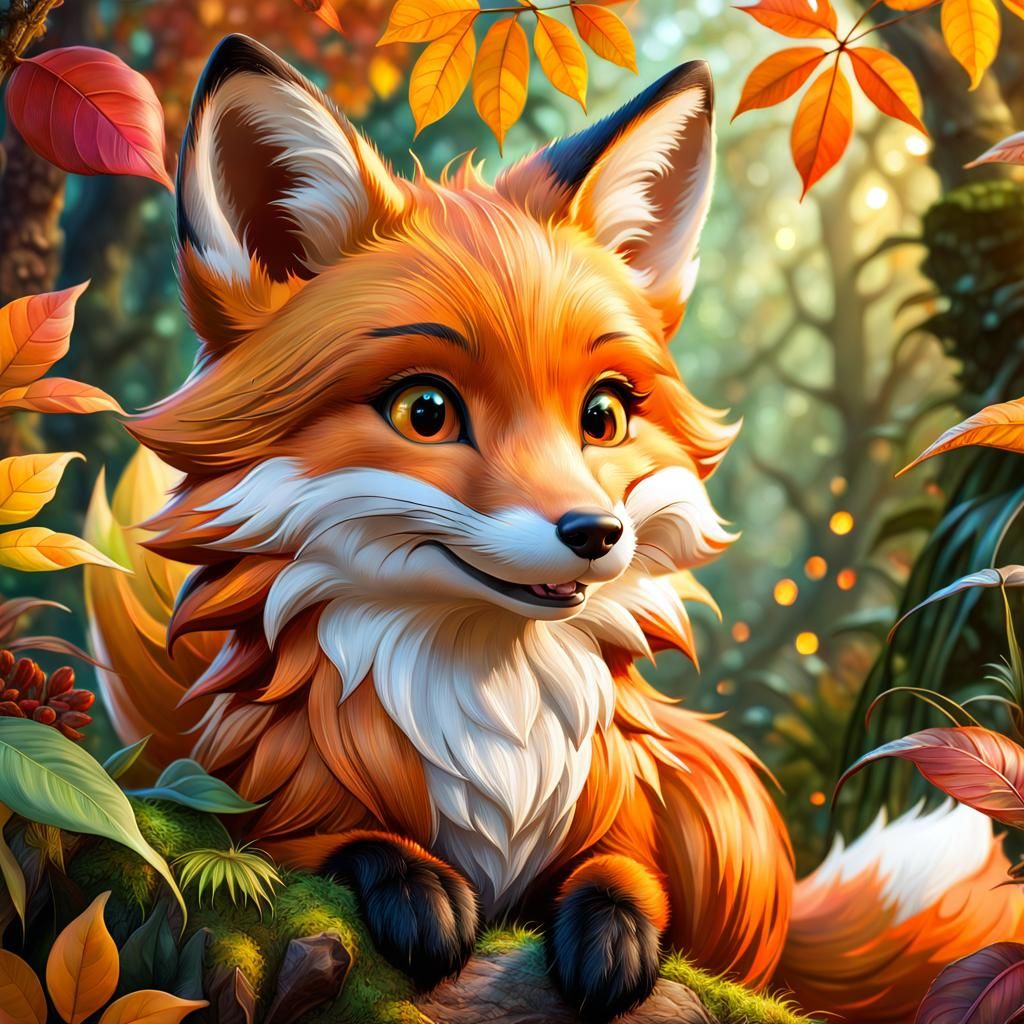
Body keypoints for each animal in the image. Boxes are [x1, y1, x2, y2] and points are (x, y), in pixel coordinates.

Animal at [84, 32, 1024, 1023]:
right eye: (426, 411)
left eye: (602, 416)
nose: (597, 533)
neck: (488, 715)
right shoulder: (253, 789)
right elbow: (327, 845)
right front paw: (414, 885)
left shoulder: (627, 809)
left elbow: (624, 873)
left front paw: (612, 933)